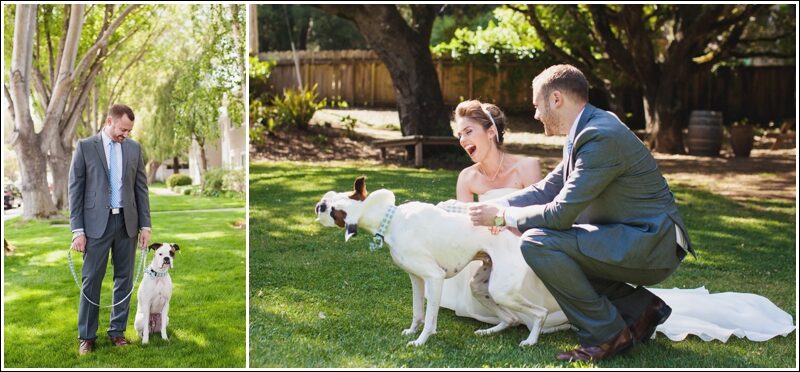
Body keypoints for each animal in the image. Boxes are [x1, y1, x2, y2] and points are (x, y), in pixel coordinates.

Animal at [314, 177, 568, 346]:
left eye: (333, 211)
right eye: (335, 199)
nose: (319, 205)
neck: (392, 219)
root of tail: (519, 235)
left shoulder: (434, 278)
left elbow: (429, 319)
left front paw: (421, 341)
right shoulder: (416, 279)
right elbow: (417, 312)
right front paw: (411, 332)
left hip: (502, 290)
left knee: (540, 313)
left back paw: (531, 340)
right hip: (481, 288)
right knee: (511, 318)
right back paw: (488, 332)